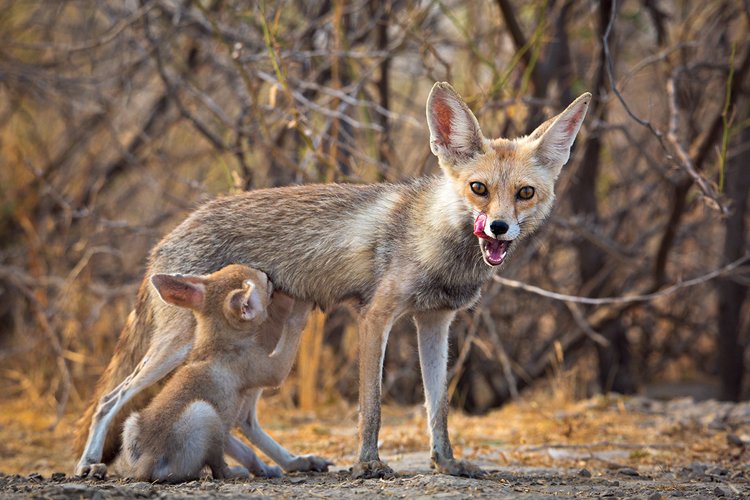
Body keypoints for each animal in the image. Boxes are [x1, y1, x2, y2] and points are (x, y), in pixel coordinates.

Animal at [78, 84, 592, 478]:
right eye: (478, 189)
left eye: (525, 193)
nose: (499, 228)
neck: (436, 243)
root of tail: (168, 236)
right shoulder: (376, 318)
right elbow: (372, 409)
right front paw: (368, 465)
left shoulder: (435, 323)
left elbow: (438, 408)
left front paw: (446, 463)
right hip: (181, 345)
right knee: (110, 398)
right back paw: (89, 464)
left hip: (256, 339)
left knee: (243, 415)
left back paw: (287, 464)